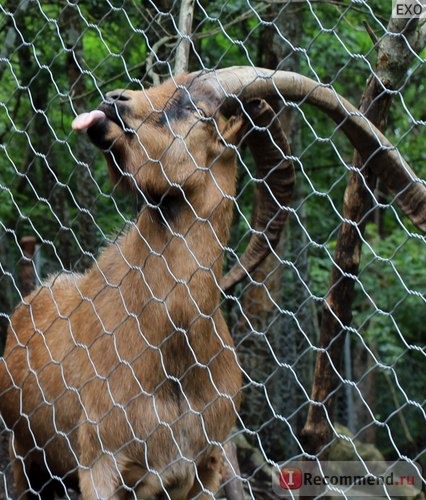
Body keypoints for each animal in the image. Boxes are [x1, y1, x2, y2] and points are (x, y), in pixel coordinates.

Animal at [0, 67, 422, 500]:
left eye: (196, 109)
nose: (113, 101)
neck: (173, 359)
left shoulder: (204, 469)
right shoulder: (100, 465)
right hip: (24, 459)